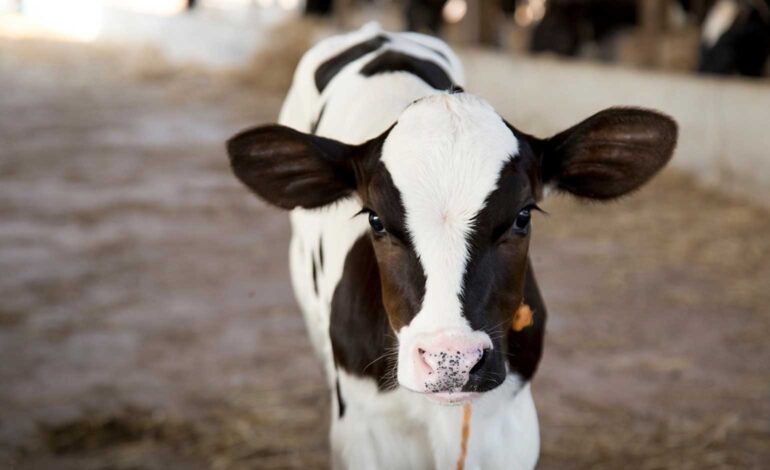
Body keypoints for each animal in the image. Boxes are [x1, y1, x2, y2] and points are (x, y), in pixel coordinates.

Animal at [225, 23, 676, 470]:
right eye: (376, 220)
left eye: (522, 216)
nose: (451, 359)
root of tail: (379, 32)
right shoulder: (365, 432)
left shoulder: (512, 426)